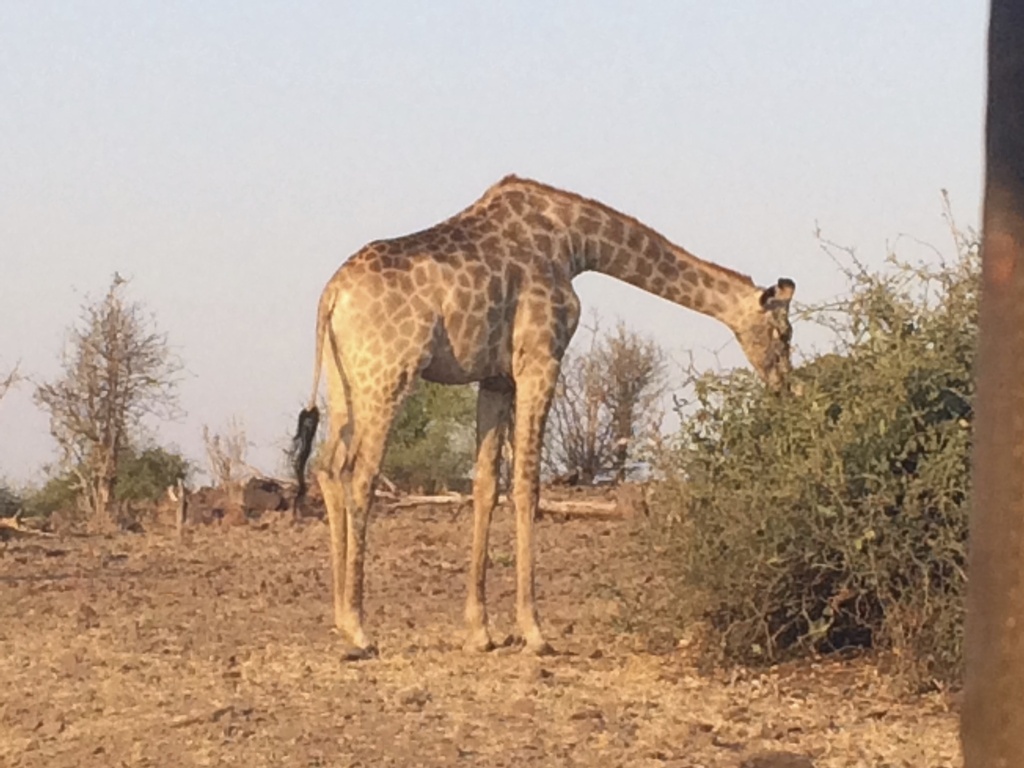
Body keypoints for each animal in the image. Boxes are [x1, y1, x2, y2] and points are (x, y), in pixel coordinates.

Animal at [290, 174, 796, 658]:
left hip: (343, 382)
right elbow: (527, 485)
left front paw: (480, 632)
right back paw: (360, 628)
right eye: (784, 332)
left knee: (329, 468)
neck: (576, 243)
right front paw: (533, 632)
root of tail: (331, 297)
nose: (785, 386)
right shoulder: (541, 357)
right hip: (388, 374)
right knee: (360, 476)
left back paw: (341, 619)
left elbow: (486, 486)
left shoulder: (495, 377)